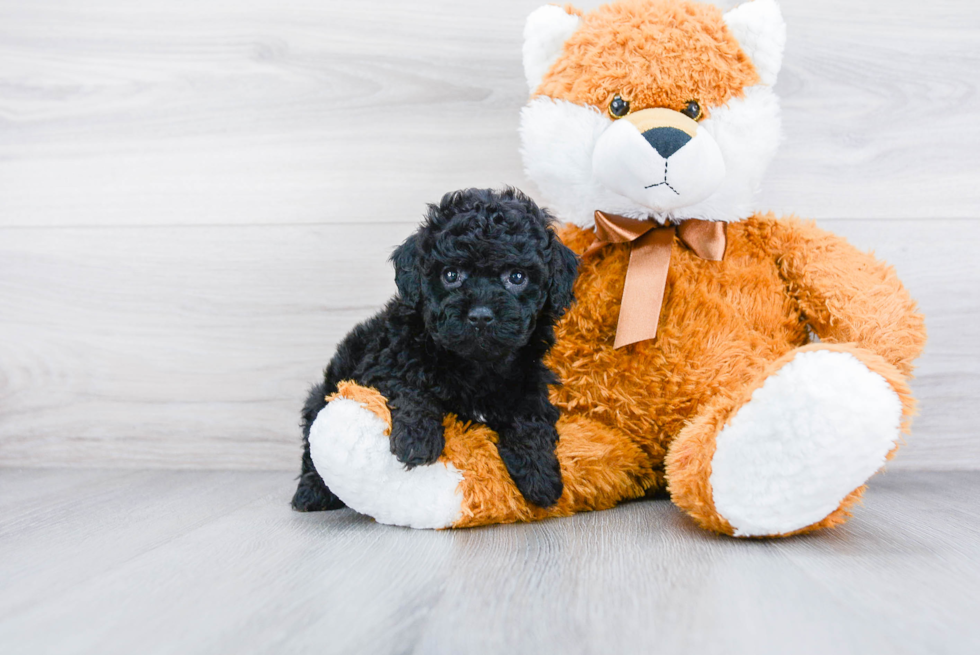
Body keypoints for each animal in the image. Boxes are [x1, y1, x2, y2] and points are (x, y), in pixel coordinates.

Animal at [290, 188, 580, 512]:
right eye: (451, 275)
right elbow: (410, 386)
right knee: (312, 447)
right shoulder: (384, 362)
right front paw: (417, 440)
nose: (480, 315)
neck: (476, 364)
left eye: (517, 277)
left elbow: (530, 417)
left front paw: (540, 475)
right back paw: (311, 493)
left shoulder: (530, 379)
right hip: (324, 393)